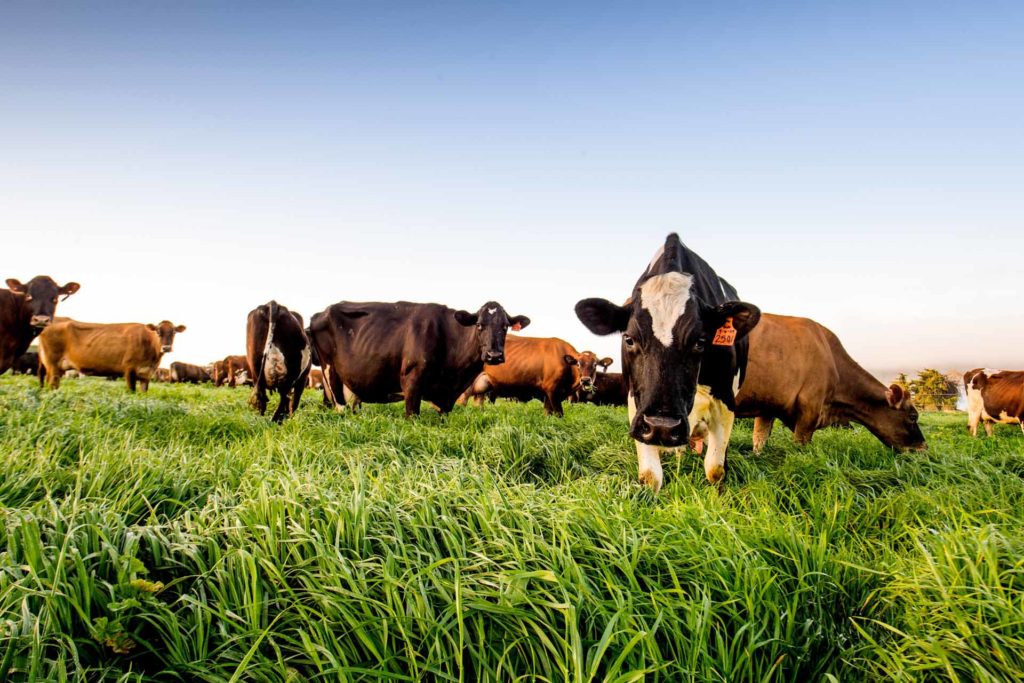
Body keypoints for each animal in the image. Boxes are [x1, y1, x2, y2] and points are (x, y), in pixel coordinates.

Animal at [38, 319, 186, 393]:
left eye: (173, 332)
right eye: (158, 331)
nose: (166, 347)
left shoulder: (146, 374)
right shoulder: (129, 370)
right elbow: (131, 391)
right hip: (53, 364)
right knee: (51, 384)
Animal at [307, 301, 532, 417]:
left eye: (505, 326)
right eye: (479, 325)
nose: (494, 355)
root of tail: (321, 312)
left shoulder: (447, 398)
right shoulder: (411, 381)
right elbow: (412, 415)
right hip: (331, 374)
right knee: (340, 405)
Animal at [577, 235, 761, 491]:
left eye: (700, 341)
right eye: (629, 339)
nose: (662, 426)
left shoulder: (725, 400)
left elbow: (715, 469)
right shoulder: (636, 404)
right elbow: (650, 475)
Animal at [729, 315, 929, 454]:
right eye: (913, 416)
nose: (924, 447)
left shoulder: (768, 405)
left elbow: (759, 440)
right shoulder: (809, 410)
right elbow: (800, 448)